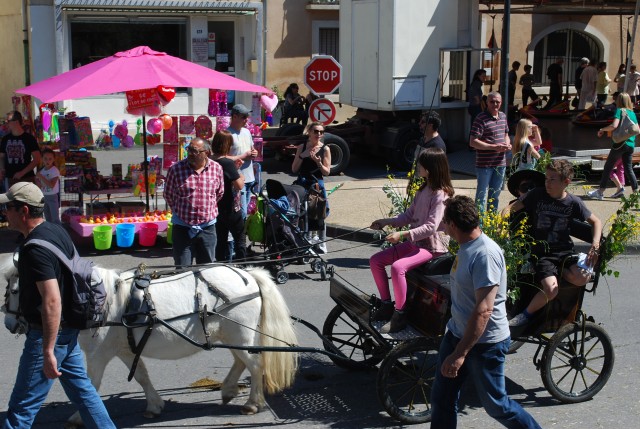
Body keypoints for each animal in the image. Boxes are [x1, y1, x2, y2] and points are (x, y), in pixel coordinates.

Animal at [0, 254, 298, 424]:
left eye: (15, 289)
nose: (9, 323)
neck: (100, 300)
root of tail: (249, 275)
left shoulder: (98, 354)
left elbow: (90, 385)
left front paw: (77, 417)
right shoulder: (125, 349)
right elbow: (142, 376)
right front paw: (155, 405)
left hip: (240, 334)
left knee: (255, 365)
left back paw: (253, 403)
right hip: (231, 334)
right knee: (241, 361)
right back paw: (228, 390)